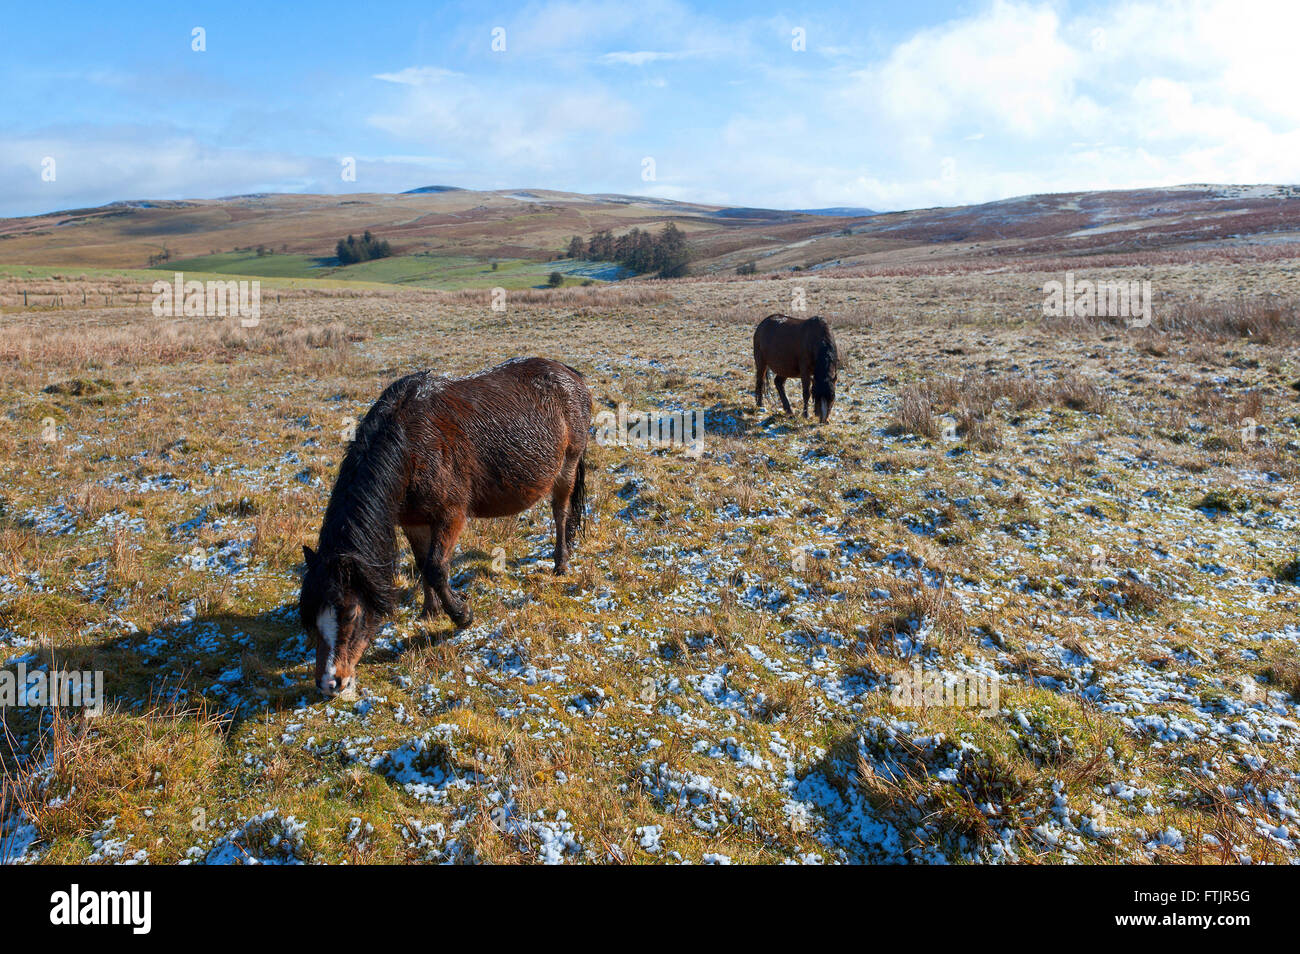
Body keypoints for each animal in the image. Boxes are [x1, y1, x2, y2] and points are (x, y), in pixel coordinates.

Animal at [299, 356, 590, 696]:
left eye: (351, 613)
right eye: (311, 618)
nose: (329, 683)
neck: (410, 449)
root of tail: (570, 373)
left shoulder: (451, 515)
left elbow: (436, 568)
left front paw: (462, 615)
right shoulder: (412, 520)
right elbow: (421, 563)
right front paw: (430, 610)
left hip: (567, 463)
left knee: (560, 512)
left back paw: (561, 562)